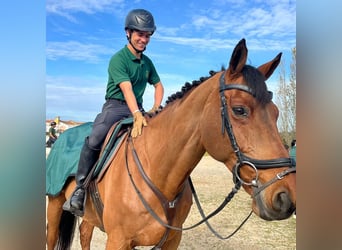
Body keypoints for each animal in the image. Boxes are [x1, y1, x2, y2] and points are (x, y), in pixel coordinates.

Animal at [46, 39, 296, 250]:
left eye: (276, 113)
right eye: (240, 110)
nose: (286, 196)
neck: (157, 172)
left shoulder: (172, 240)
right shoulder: (118, 240)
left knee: (85, 233)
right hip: (55, 206)